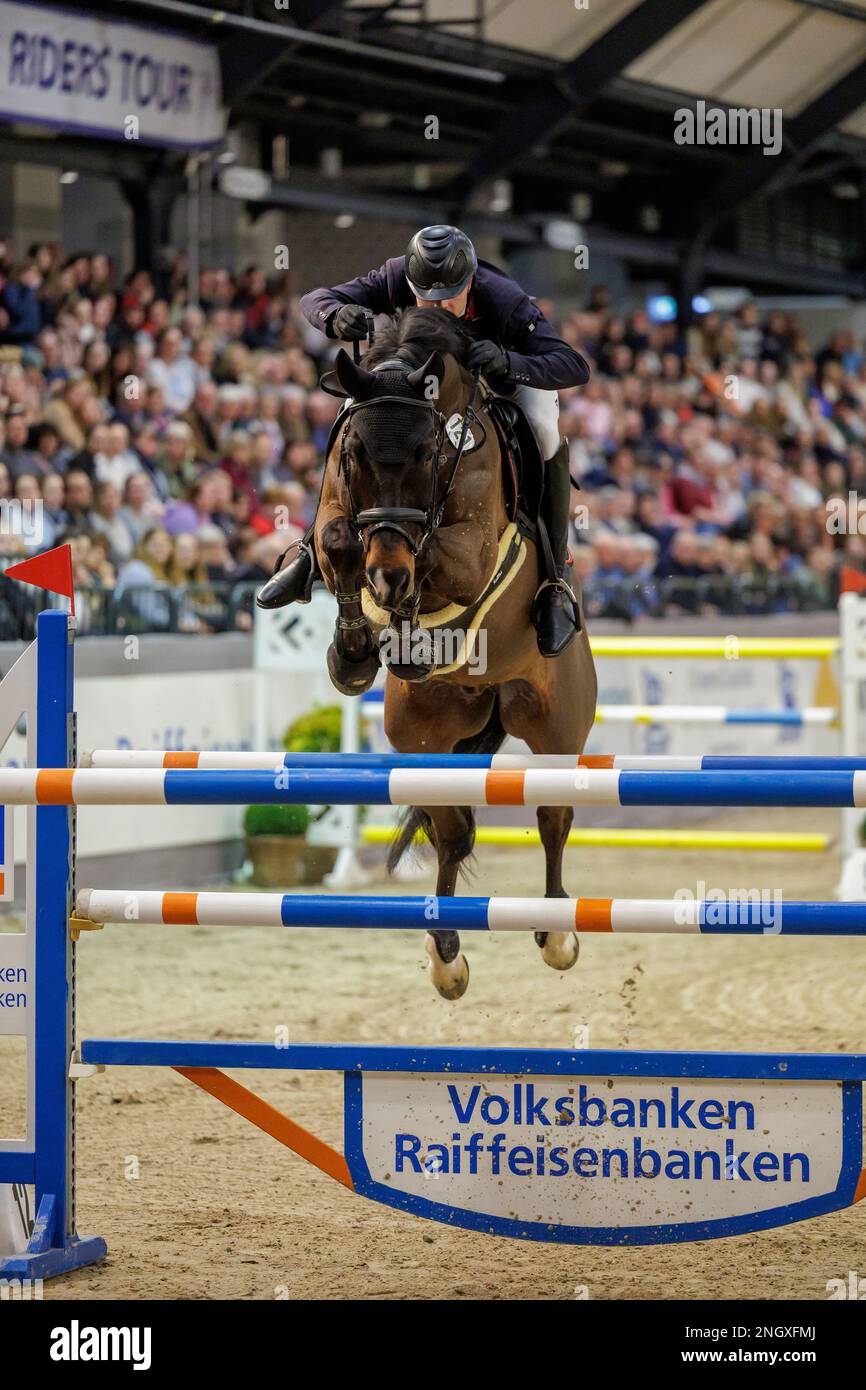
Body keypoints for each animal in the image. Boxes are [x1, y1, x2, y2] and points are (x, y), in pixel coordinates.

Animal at [316, 307, 594, 1000]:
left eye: (428, 451)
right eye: (354, 452)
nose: (387, 575)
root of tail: (488, 697)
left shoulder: (471, 549)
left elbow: (441, 554)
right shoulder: (339, 506)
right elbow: (336, 539)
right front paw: (355, 652)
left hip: (555, 727)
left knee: (553, 817)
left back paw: (558, 934)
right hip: (425, 737)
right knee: (452, 831)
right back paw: (445, 953)